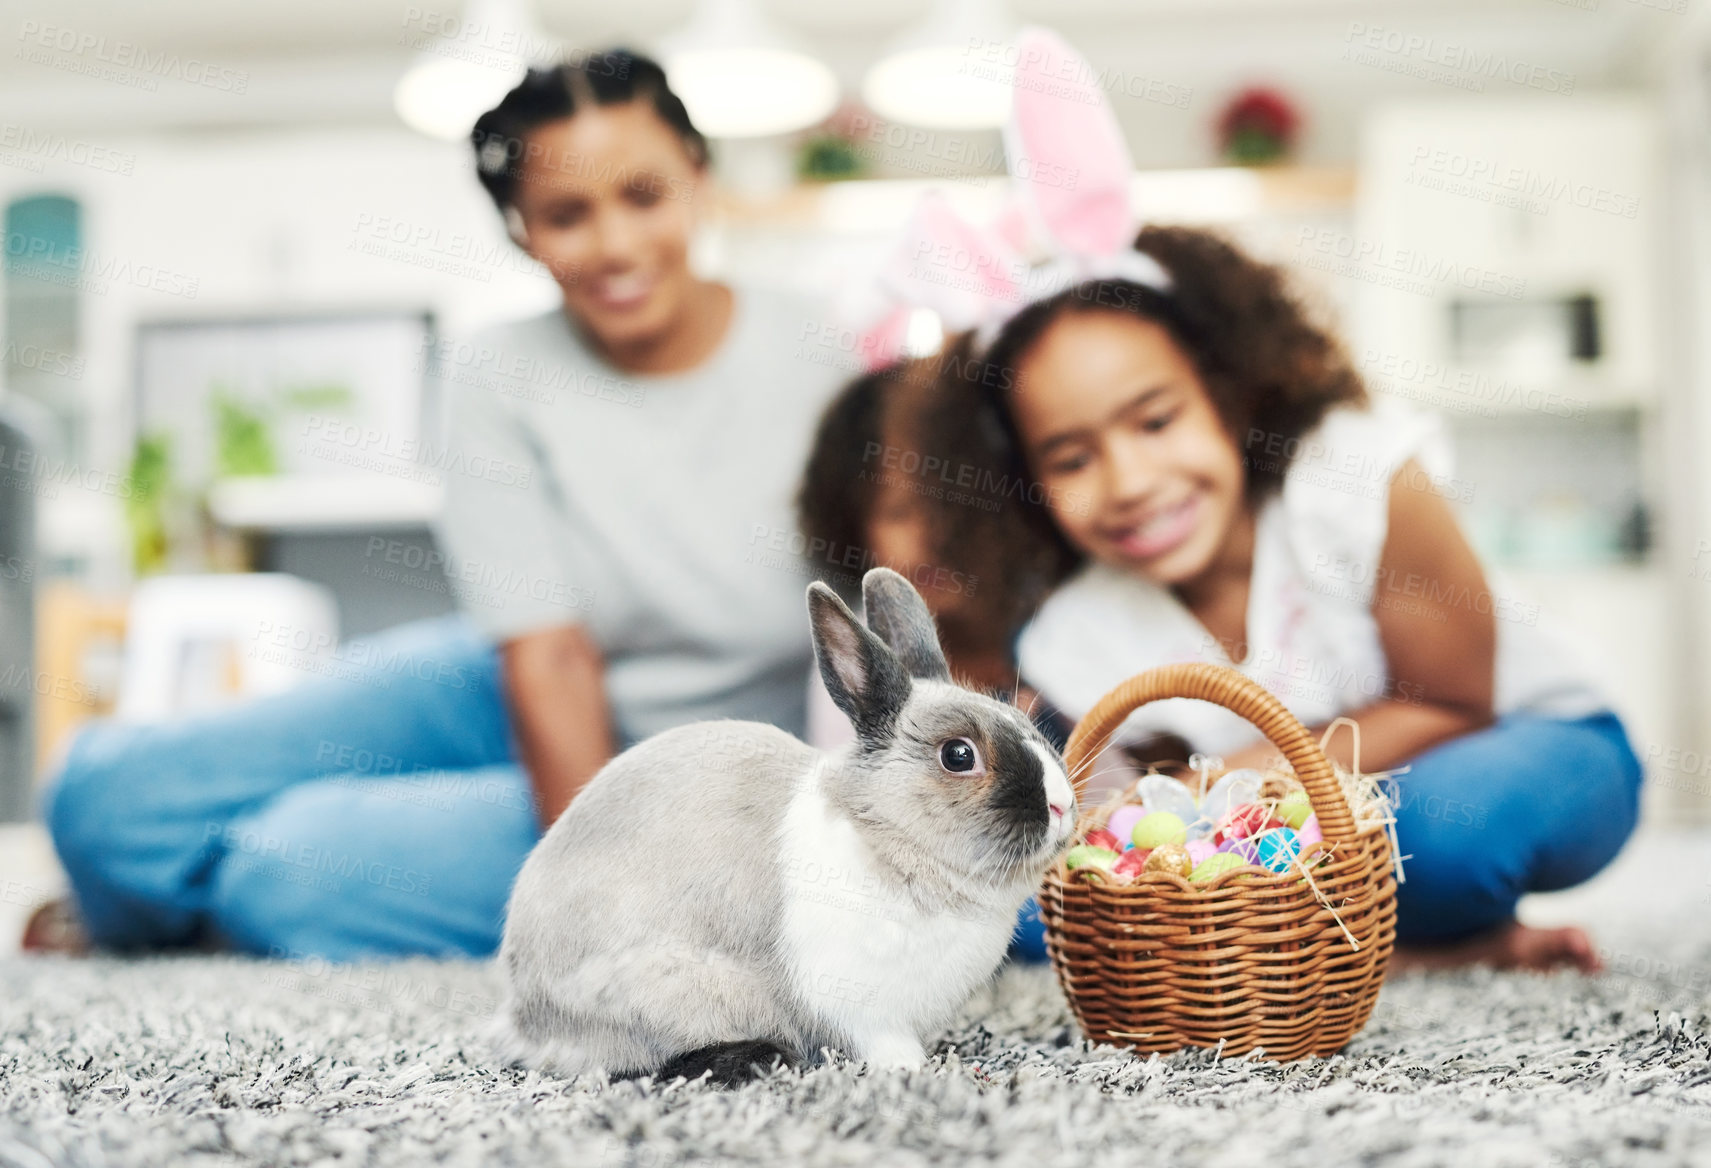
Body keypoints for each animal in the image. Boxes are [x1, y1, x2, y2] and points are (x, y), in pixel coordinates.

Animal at [496, 567, 1074, 1087]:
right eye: (958, 756)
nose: (1063, 805)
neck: (886, 832)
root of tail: (524, 1017)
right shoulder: (856, 1005)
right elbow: (881, 1042)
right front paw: (911, 1068)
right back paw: (760, 1059)